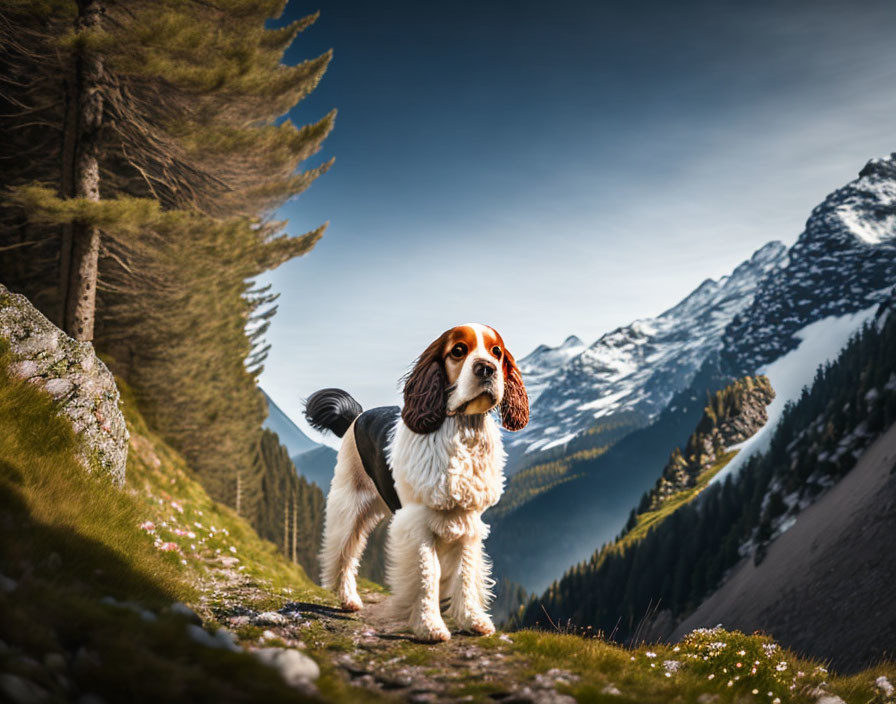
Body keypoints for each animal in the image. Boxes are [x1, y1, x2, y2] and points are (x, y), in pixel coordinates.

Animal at [306, 324, 528, 644]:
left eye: (496, 351)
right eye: (458, 350)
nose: (486, 368)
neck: (461, 431)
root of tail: (356, 416)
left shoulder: (468, 522)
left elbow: (464, 572)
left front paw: (472, 620)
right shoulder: (418, 523)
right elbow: (427, 573)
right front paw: (429, 626)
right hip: (351, 505)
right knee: (343, 552)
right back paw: (348, 599)